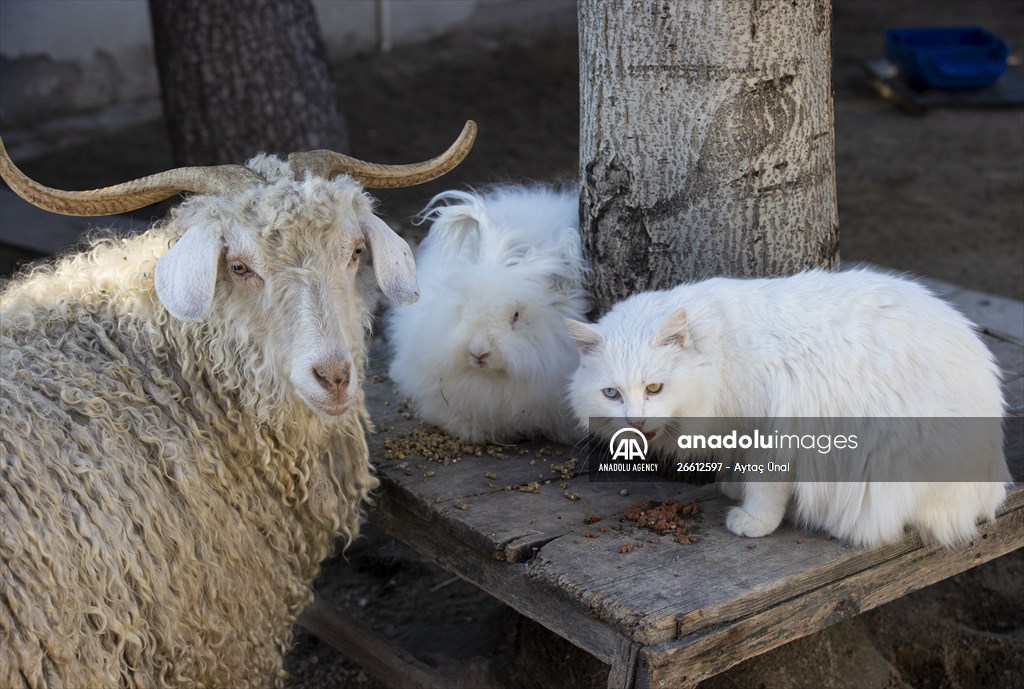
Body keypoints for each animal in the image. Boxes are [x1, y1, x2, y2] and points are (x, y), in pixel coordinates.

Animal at [565, 268, 1011, 548]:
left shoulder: (773, 431)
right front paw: (733, 486)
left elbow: (766, 490)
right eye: (611, 393)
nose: (636, 420)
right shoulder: (739, 430)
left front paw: (751, 520)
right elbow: (736, 465)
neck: (721, 352)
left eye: (654, 388)